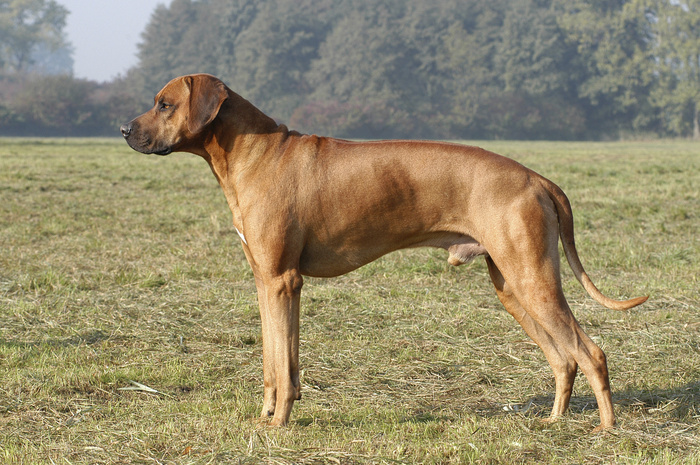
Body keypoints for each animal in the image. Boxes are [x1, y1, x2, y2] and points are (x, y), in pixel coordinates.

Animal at [119, 73, 644, 432]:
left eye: (164, 104)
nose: (123, 129)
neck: (255, 153)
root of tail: (537, 178)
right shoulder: (268, 282)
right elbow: (276, 360)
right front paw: (268, 413)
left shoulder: (282, 281)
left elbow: (282, 366)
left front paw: (279, 423)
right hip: (512, 287)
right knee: (563, 359)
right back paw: (554, 421)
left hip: (534, 279)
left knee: (591, 352)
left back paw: (606, 430)